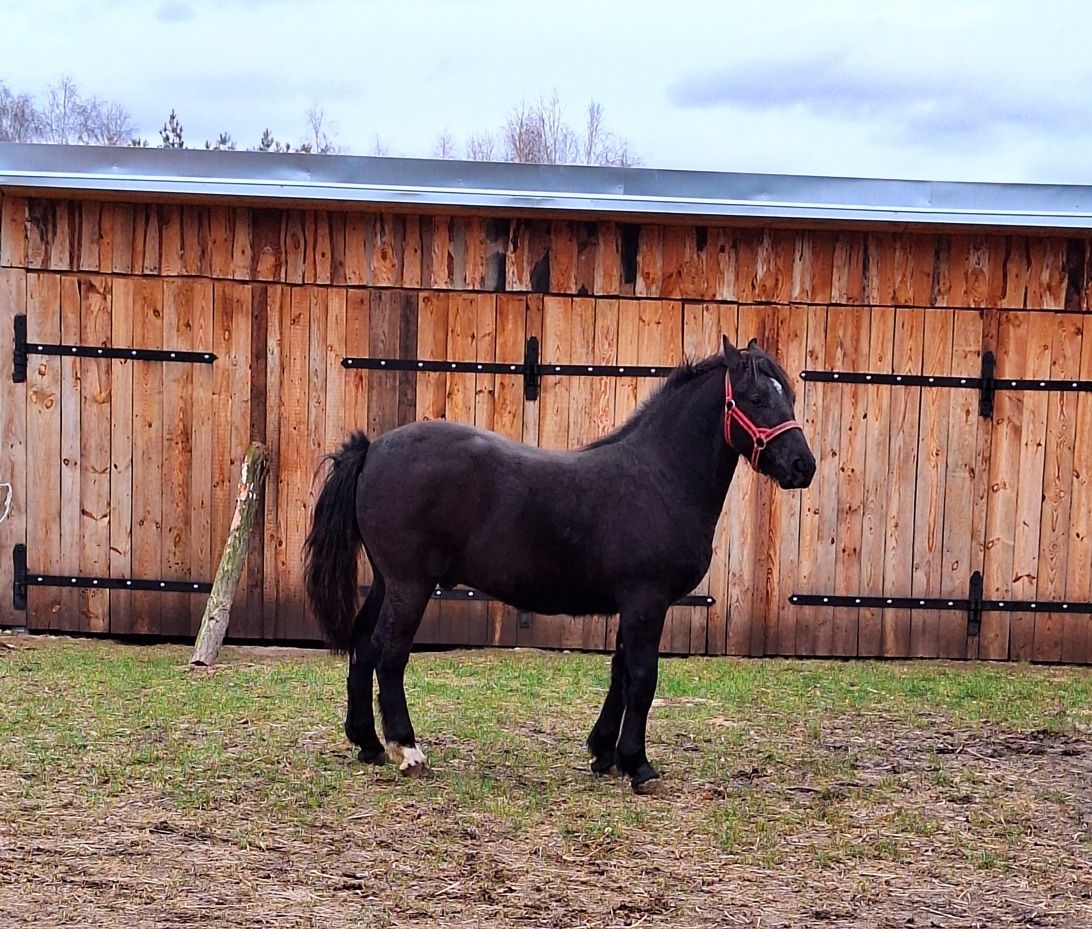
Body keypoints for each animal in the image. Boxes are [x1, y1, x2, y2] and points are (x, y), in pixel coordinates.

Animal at [303, 334, 816, 790]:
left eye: (789, 396)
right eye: (755, 397)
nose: (802, 466)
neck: (659, 478)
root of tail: (373, 449)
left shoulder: (631, 605)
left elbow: (620, 672)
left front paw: (605, 754)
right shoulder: (647, 601)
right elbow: (642, 677)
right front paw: (639, 765)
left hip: (386, 581)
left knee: (363, 645)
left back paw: (369, 744)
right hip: (410, 583)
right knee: (389, 652)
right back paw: (407, 750)